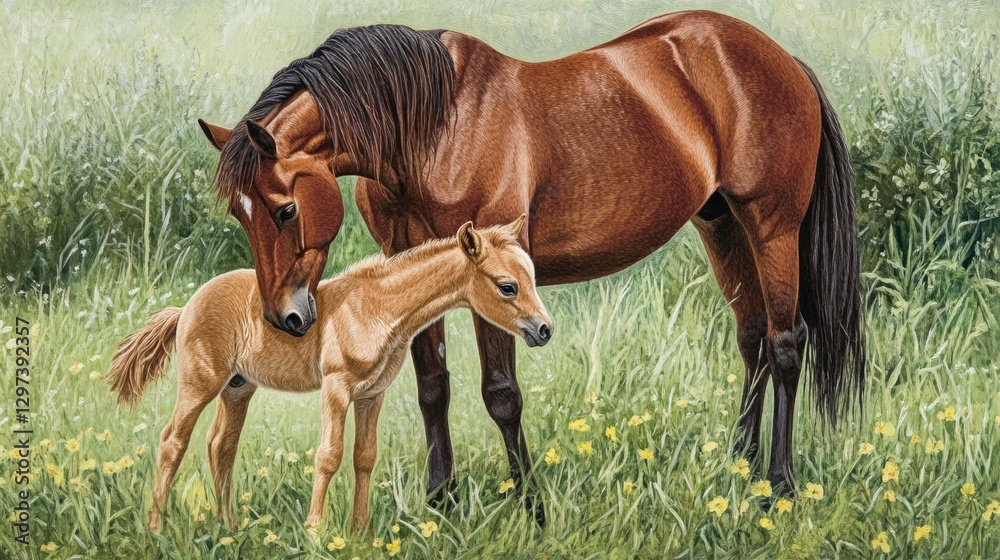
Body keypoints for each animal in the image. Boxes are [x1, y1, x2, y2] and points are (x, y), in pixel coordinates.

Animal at [105, 217, 552, 533]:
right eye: (507, 286)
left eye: (531, 278)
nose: (544, 330)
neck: (376, 307)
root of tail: (187, 307)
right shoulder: (336, 388)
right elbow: (329, 455)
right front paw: (316, 531)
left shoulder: (372, 394)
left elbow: (364, 457)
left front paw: (359, 532)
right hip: (201, 383)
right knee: (172, 442)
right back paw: (157, 528)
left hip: (237, 388)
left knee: (220, 446)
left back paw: (227, 526)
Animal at [197, 10, 866, 524]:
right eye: (238, 212)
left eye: (284, 209)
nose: (284, 318)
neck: (433, 128)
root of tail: (783, 60)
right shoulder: (416, 273)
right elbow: (433, 387)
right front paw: (442, 503)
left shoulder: (488, 277)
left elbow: (501, 394)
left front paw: (530, 507)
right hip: (721, 225)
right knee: (751, 338)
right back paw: (739, 464)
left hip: (771, 227)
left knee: (785, 343)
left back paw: (778, 487)